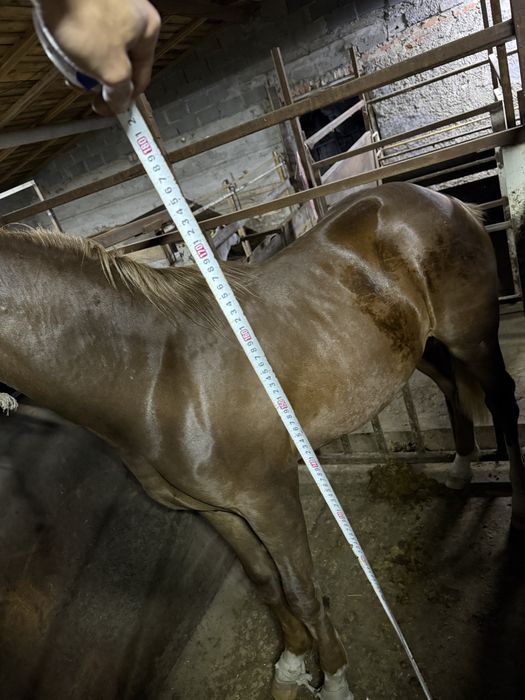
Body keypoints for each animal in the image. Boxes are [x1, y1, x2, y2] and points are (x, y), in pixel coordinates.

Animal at [0, 181, 523, 700]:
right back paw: (460, 466)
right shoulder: (216, 512)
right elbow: (265, 583)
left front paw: (334, 679)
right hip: (417, 347)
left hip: (471, 337)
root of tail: (442, 197)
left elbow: (303, 591)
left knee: (503, 401)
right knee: (451, 388)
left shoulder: (271, 499)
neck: (154, 375)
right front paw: (291, 663)